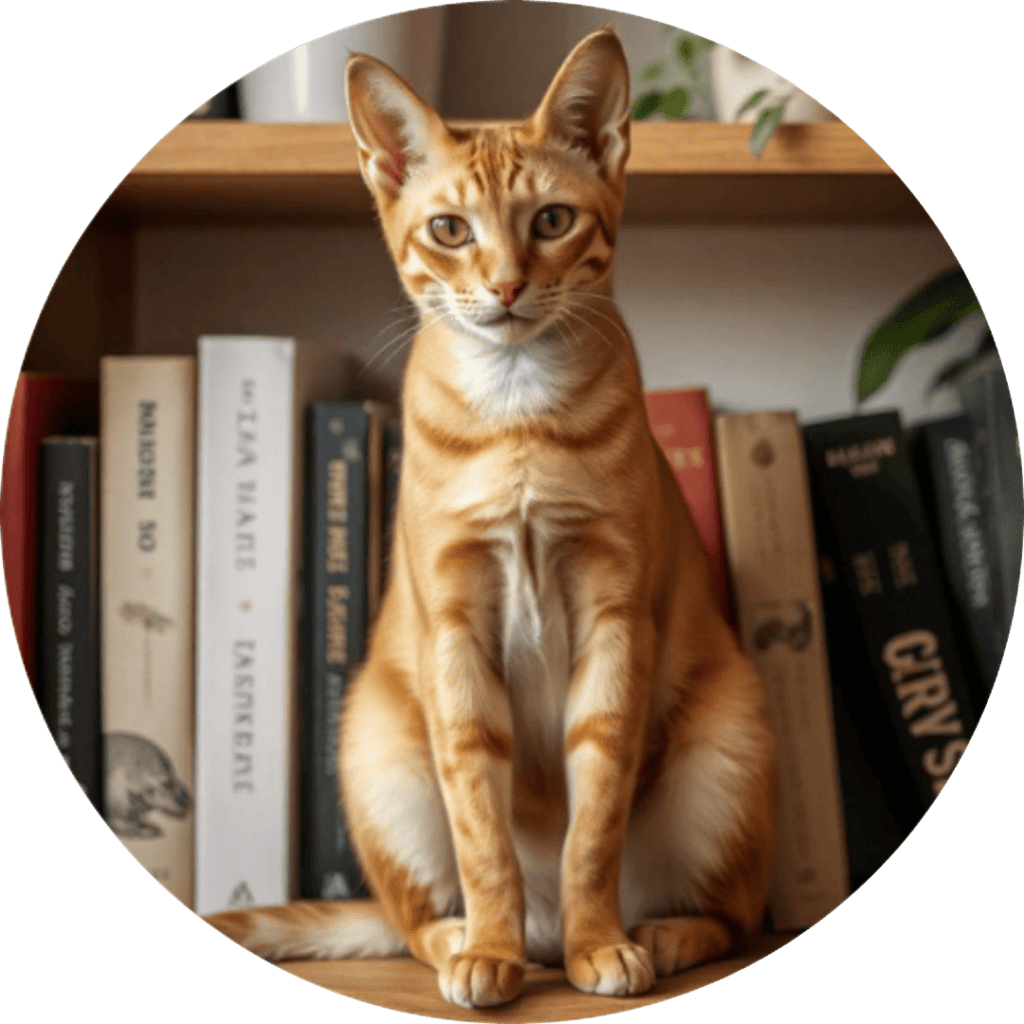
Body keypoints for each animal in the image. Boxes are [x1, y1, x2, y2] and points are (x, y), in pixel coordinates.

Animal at [207, 29, 774, 1007]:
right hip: (377, 749)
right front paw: (490, 951)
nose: (507, 286)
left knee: (730, 917)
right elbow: (482, 833)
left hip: (727, 746)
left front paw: (601, 943)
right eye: (449, 230)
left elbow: (594, 830)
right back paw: (475, 940)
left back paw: (644, 936)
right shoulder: (455, 630)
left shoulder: (614, 618)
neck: (518, 413)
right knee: (412, 921)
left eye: (551, 221)